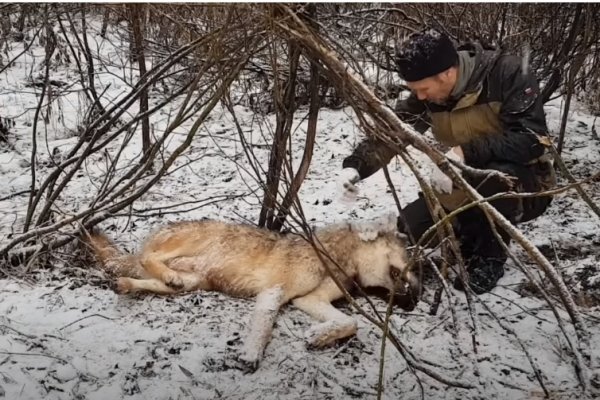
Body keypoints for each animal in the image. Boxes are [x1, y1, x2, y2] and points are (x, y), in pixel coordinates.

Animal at [86, 214, 420, 370]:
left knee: (148, 278)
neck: (335, 258)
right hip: (186, 247)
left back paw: (128, 284)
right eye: (408, 261)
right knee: (148, 259)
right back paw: (160, 271)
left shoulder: (307, 299)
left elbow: (351, 322)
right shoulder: (274, 291)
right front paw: (249, 356)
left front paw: (318, 336)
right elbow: (263, 327)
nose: (417, 296)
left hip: (193, 282)